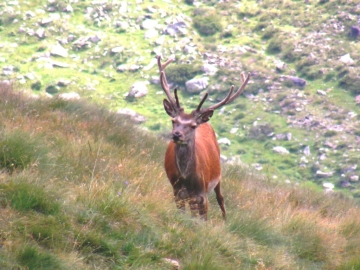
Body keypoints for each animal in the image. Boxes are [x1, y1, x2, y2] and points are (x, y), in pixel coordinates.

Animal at [158, 56, 250, 220]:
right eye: (174, 121)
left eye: (193, 125)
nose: (176, 135)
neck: (187, 180)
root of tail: (206, 122)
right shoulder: (177, 192)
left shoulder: (203, 193)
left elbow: (203, 219)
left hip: (218, 176)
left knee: (220, 198)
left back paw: (225, 220)